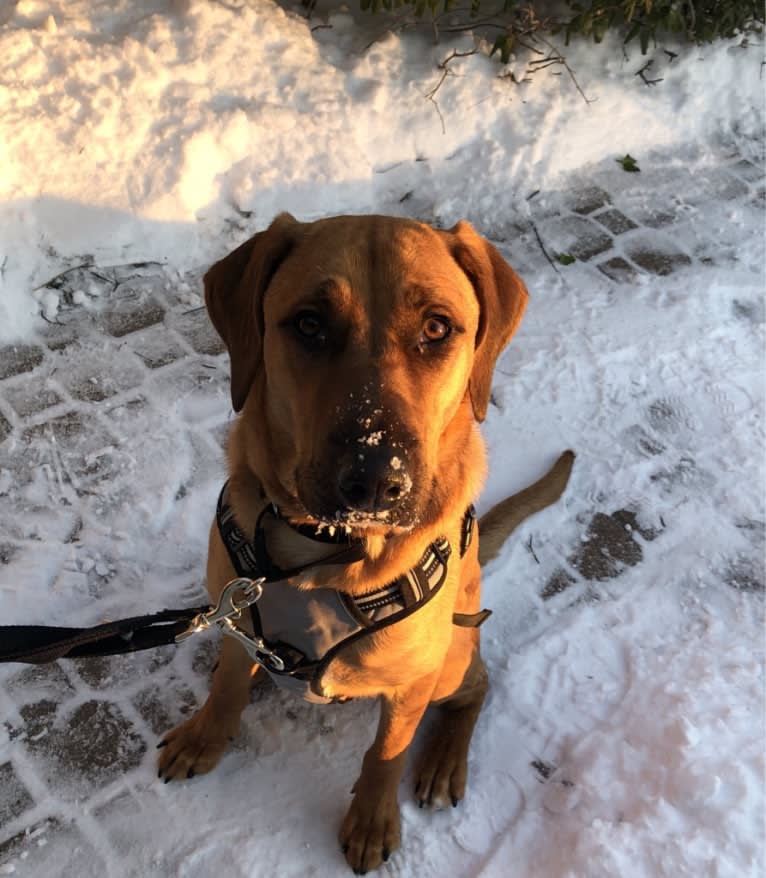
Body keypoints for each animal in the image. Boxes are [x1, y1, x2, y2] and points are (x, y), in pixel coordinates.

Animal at [158, 213, 576, 872]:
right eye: (309, 323)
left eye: (437, 327)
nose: (376, 478)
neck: (324, 556)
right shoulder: (234, 617)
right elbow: (226, 685)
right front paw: (206, 735)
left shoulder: (412, 683)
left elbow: (386, 755)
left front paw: (373, 820)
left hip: (451, 660)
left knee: (477, 685)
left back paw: (443, 759)